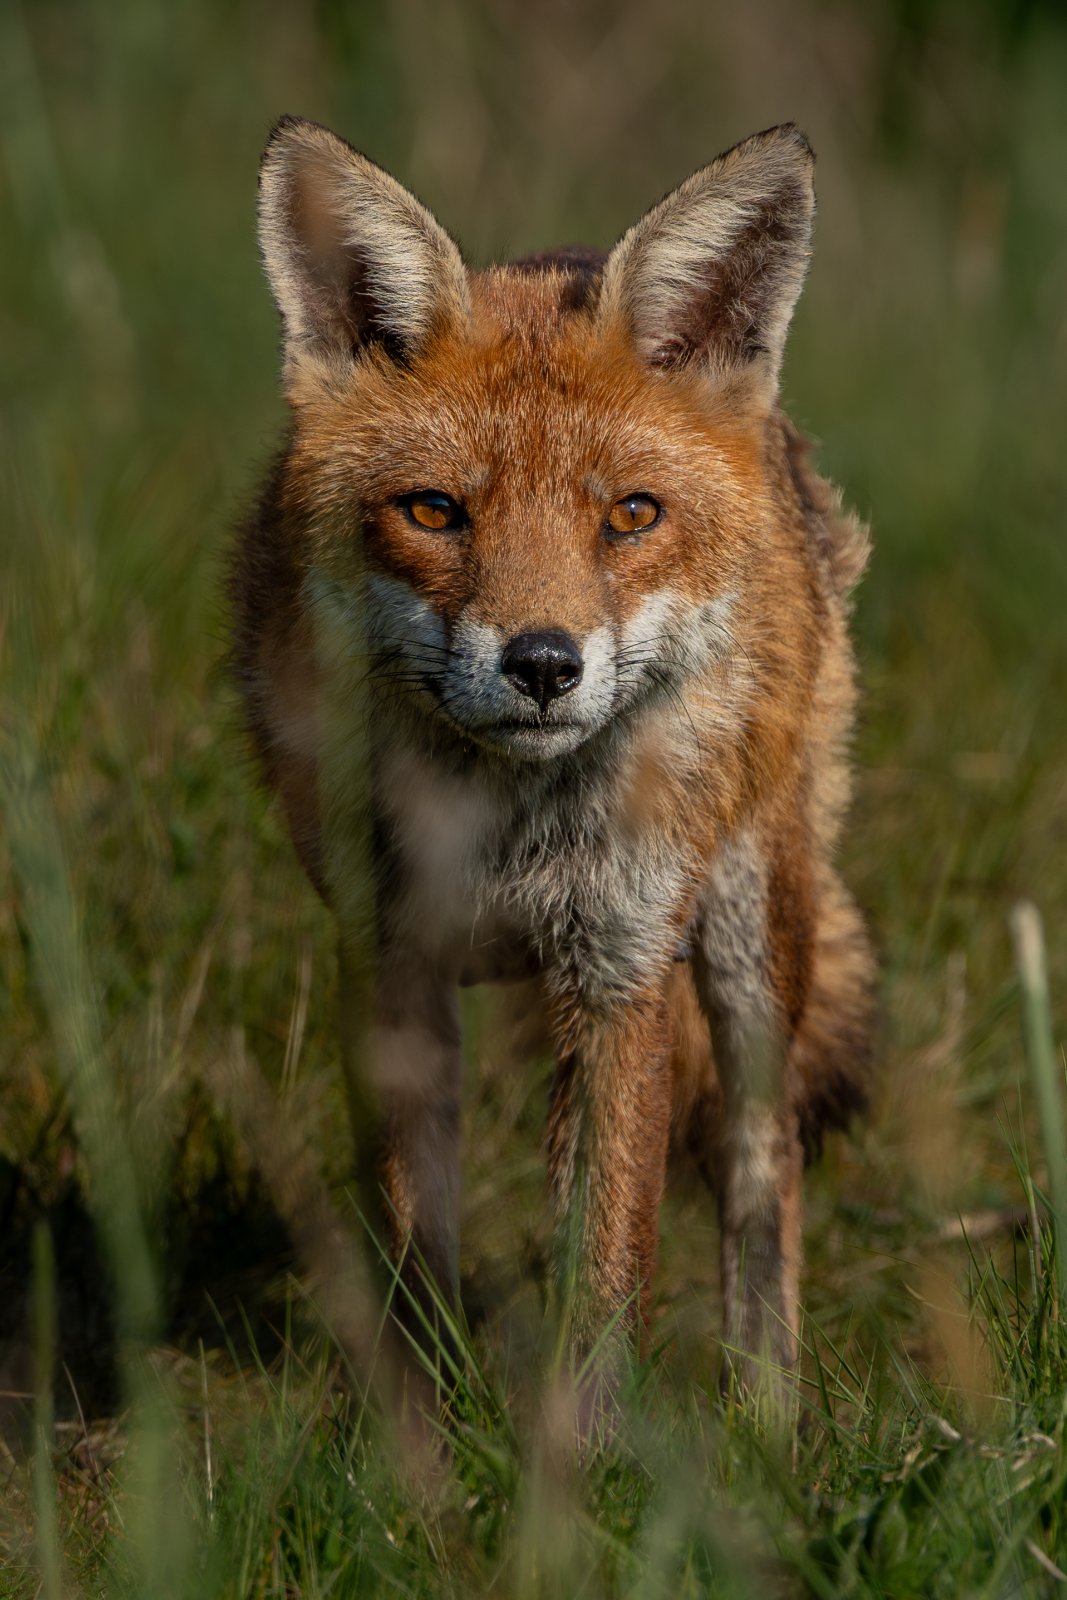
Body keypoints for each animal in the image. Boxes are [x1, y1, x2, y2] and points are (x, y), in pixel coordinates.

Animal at [230, 114, 875, 1398]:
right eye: (434, 512)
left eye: (628, 515)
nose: (541, 664)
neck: (507, 833)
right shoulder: (390, 963)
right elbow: (412, 1257)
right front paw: (421, 1434)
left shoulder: (619, 971)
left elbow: (605, 1273)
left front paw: (578, 1452)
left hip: (747, 942)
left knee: (758, 1169)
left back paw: (764, 1415)